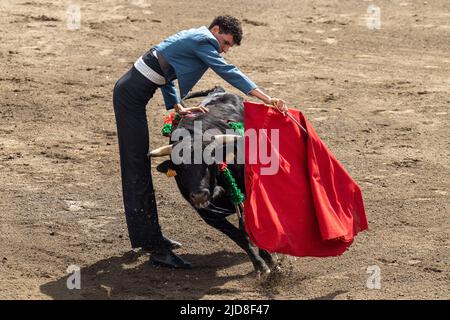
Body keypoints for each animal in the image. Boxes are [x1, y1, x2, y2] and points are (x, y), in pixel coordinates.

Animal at [151, 87, 278, 272]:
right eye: (179, 168)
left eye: (209, 161)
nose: (199, 195)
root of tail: (219, 90)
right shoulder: (208, 215)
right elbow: (240, 237)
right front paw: (260, 264)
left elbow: (250, 224)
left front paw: (269, 258)